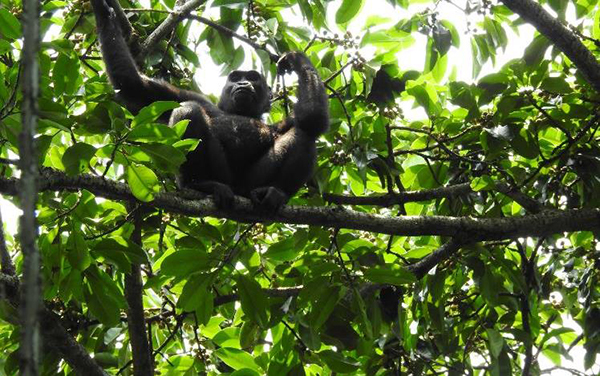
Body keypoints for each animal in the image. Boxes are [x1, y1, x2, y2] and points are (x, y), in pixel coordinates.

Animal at [91, 0, 330, 209]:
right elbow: (134, 85)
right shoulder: (194, 97)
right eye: (236, 77)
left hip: (250, 184)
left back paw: (274, 192)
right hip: (220, 175)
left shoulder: (278, 124)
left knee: (305, 133)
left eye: (253, 77)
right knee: (189, 110)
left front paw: (296, 59)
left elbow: (312, 118)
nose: (243, 83)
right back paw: (200, 184)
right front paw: (102, 11)